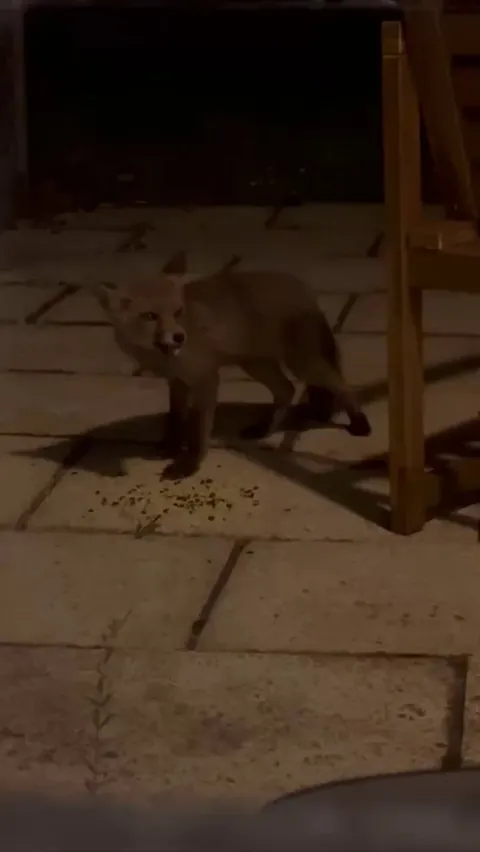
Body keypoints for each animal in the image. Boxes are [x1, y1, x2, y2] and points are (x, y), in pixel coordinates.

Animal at [95, 267, 371, 479]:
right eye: (150, 316)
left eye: (177, 313)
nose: (179, 337)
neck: (163, 358)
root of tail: (301, 286)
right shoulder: (177, 383)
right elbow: (175, 419)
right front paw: (171, 447)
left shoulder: (205, 379)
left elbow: (198, 432)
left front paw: (188, 465)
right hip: (257, 364)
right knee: (287, 389)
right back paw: (262, 429)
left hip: (302, 364)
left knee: (343, 386)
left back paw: (360, 423)